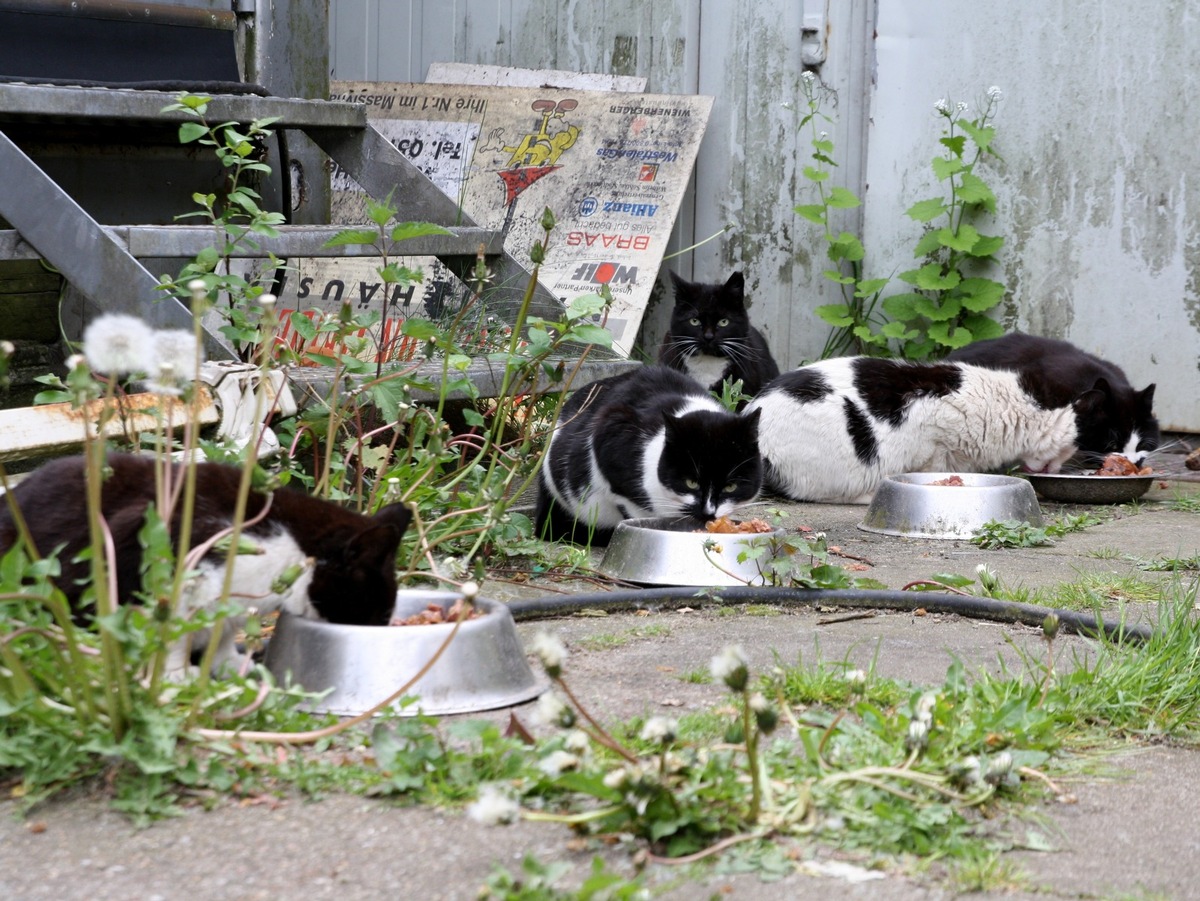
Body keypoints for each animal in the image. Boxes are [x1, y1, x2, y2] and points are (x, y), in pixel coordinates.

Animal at [0, 453, 412, 671]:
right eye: (379, 613)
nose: (380, 631)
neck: (288, 547)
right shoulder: (144, 535)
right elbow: (170, 628)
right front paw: (173, 676)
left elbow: (223, 632)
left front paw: (231, 667)